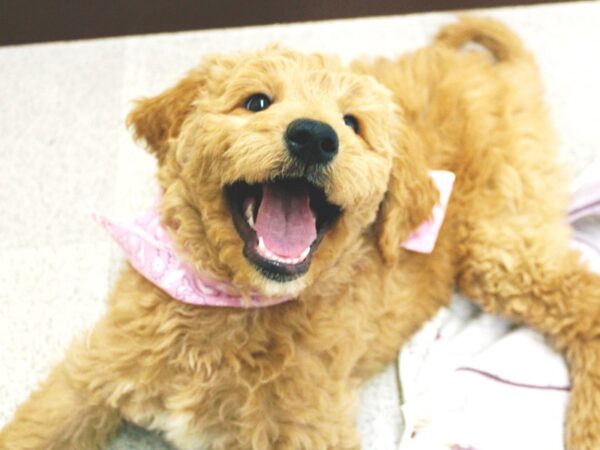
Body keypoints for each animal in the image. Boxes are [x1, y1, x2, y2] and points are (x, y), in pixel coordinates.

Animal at [1, 16, 600, 450]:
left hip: (499, 241)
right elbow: (37, 427)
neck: (231, 313)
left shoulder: (313, 431)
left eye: (352, 123)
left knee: (585, 304)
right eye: (257, 101)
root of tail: (501, 73)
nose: (315, 136)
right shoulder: (90, 375)